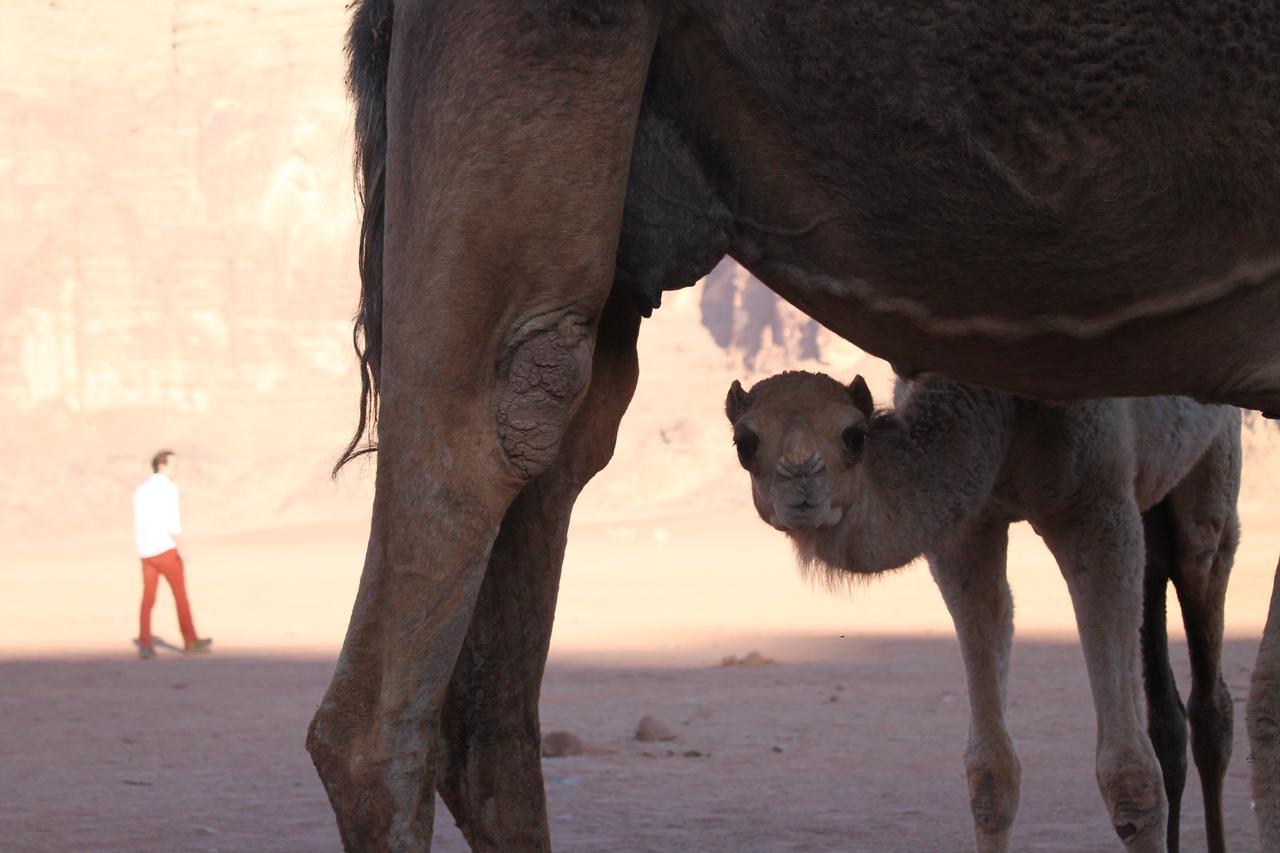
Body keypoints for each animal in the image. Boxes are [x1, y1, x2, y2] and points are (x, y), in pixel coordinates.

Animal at [732, 371, 1239, 850]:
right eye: (745, 442)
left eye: (855, 435)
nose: (801, 480)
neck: (995, 409)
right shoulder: (968, 527)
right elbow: (991, 773)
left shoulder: (1098, 508)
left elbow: (1130, 778)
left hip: (1215, 466)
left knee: (1203, 591)